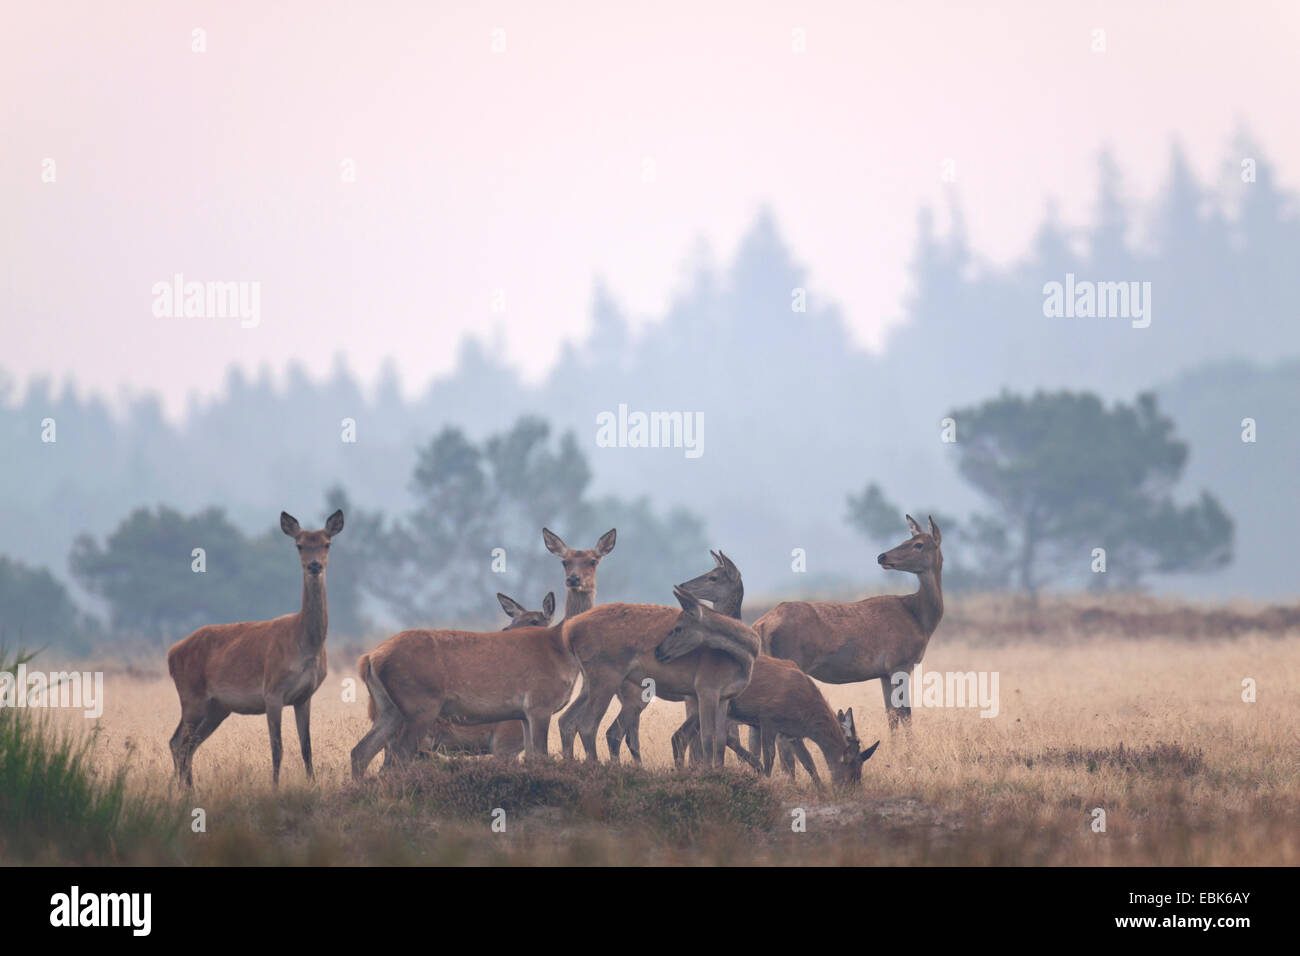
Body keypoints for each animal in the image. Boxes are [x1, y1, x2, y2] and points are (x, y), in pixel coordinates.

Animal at [165, 512, 343, 790]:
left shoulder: (304, 696)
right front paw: (275, 788)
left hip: (217, 707)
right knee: (178, 743)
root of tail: (171, 653)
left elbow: (307, 747)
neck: (306, 646)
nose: (314, 566)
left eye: (327, 543)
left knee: (187, 744)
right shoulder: (272, 691)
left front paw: (313, 785)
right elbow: (277, 747)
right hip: (191, 695)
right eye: (299, 545)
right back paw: (183, 790)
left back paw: (189, 791)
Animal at [351, 528, 613, 780]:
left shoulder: (523, 714)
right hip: (419, 704)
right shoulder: (539, 704)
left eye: (593, 560)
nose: (573, 579)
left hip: (388, 708)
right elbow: (541, 756)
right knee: (398, 757)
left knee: (361, 752)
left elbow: (532, 758)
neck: (562, 649)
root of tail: (369, 658)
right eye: (564, 561)